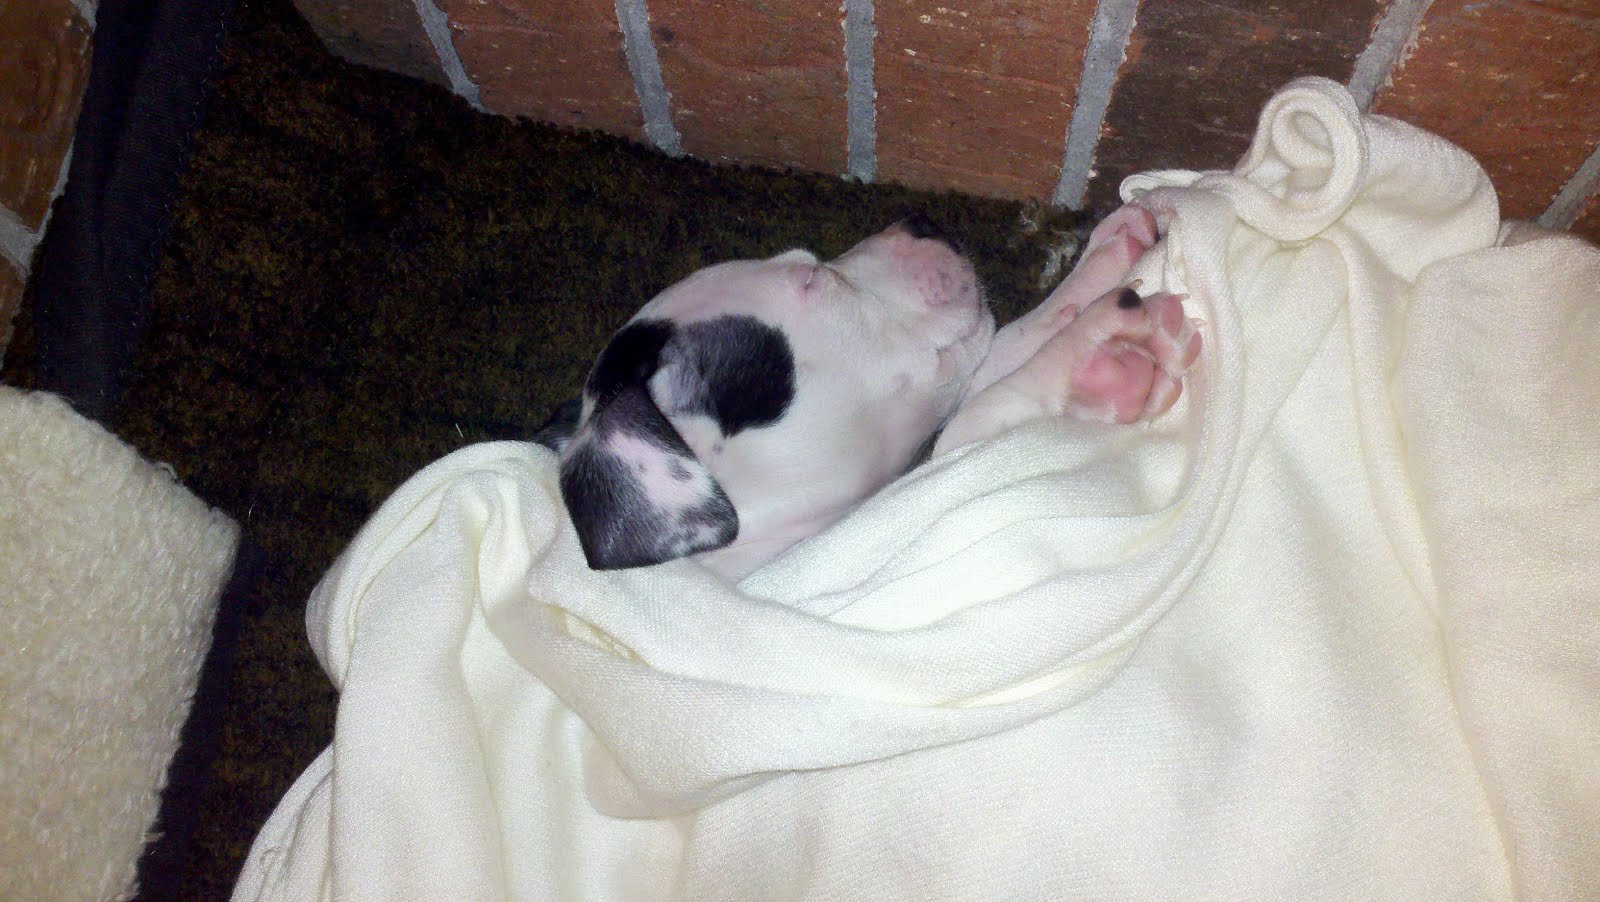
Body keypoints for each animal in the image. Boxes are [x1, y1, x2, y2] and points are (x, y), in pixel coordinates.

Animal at [534, 207, 1200, 581]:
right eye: (811, 278)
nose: (923, 222)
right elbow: (976, 420)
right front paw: (1099, 355)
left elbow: (998, 354)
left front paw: (1102, 260)